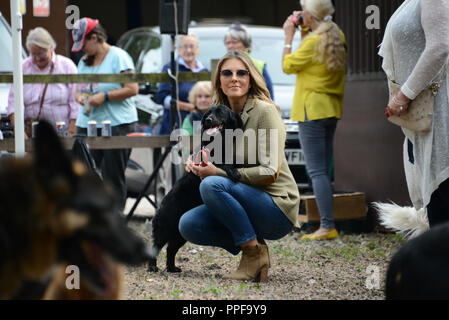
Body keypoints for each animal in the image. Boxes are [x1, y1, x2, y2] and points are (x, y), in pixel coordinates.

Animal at [149, 105, 243, 272]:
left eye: (220, 111)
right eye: (208, 113)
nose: (208, 120)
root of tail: (158, 208)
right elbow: (223, 164)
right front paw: (233, 172)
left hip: (180, 235)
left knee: (170, 249)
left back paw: (172, 268)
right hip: (165, 229)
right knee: (155, 247)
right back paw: (152, 267)